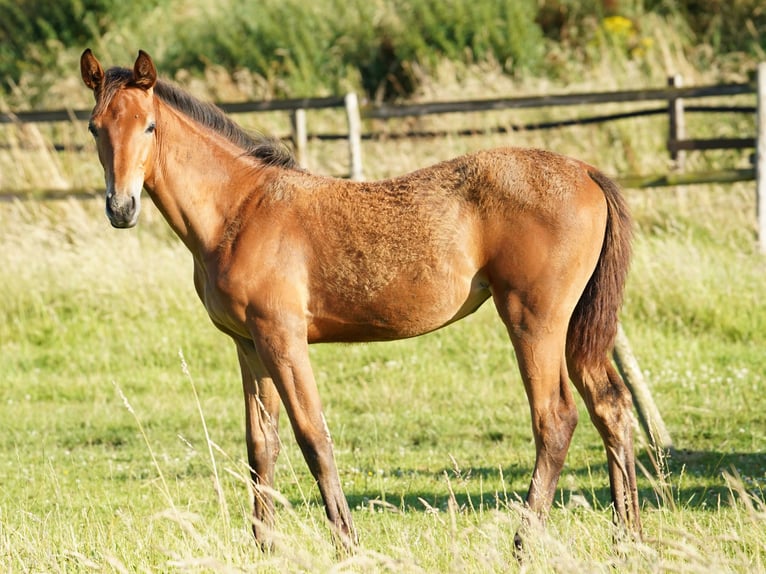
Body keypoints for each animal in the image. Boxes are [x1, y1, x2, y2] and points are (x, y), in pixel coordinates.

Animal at [79, 49, 640, 548]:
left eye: (149, 126)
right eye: (94, 128)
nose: (121, 208)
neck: (239, 210)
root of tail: (585, 172)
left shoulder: (282, 337)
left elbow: (313, 437)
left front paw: (346, 543)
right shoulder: (249, 345)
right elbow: (261, 445)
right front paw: (264, 547)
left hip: (533, 319)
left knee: (555, 418)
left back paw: (524, 542)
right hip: (576, 325)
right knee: (610, 405)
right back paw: (626, 537)